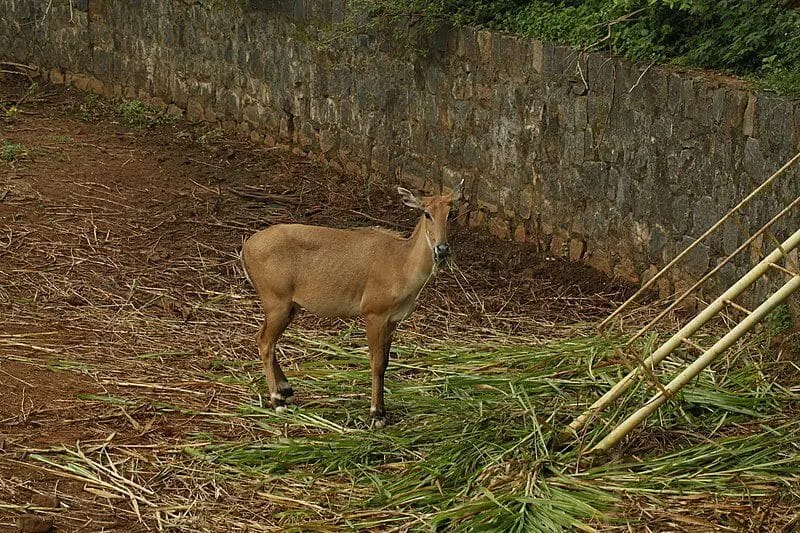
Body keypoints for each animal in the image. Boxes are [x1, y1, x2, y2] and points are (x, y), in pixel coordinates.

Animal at [241, 180, 464, 427]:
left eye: (451, 213)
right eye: (427, 213)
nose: (442, 249)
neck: (402, 264)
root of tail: (246, 248)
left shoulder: (392, 320)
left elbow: (386, 362)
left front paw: (383, 410)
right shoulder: (373, 313)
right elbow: (377, 363)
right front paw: (376, 414)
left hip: (289, 306)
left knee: (262, 338)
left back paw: (286, 391)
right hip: (275, 300)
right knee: (265, 342)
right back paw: (277, 400)